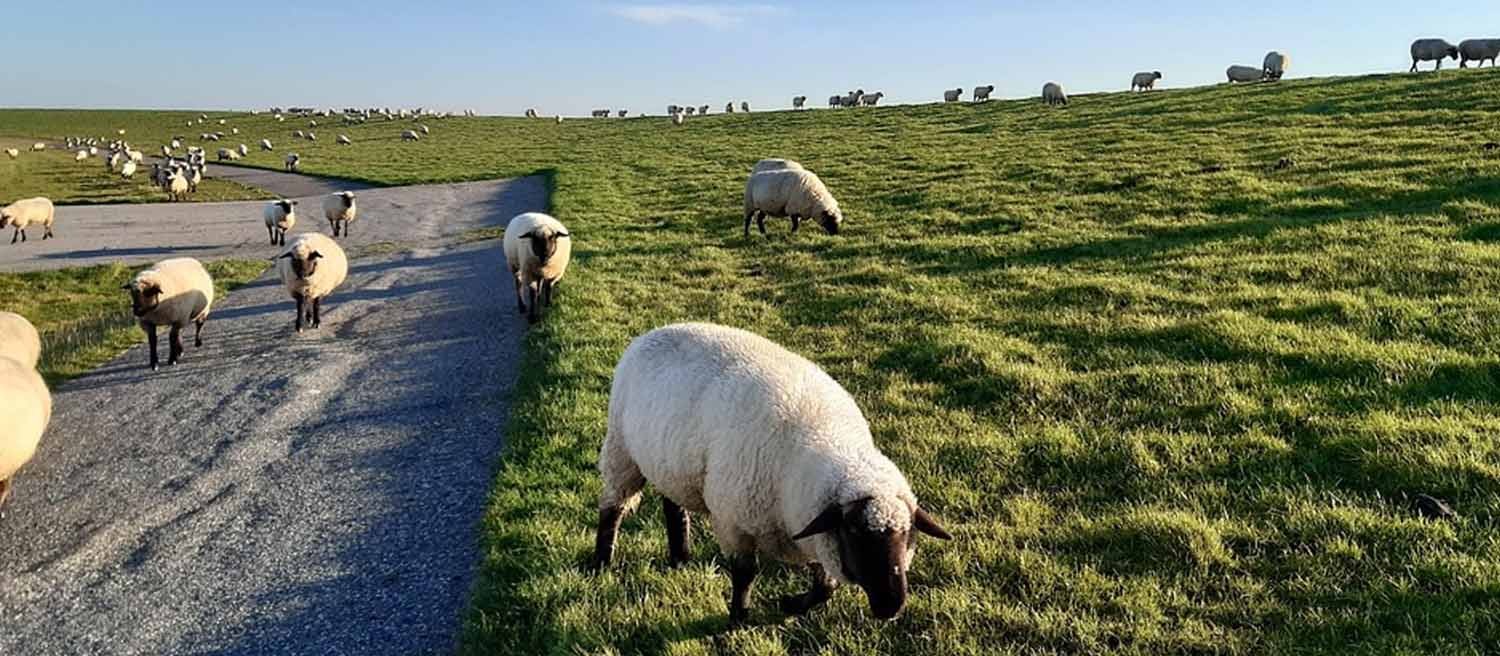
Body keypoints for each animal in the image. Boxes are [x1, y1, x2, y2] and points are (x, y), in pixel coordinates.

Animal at [591, 322, 952, 622]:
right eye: (855, 532)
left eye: (907, 534)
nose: (892, 605)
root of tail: (652, 332)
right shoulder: (735, 523)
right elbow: (745, 574)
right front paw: (739, 617)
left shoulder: (812, 530)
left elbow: (825, 588)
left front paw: (790, 604)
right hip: (622, 451)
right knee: (612, 509)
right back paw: (602, 563)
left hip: (671, 462)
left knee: (672, 505)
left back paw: (681, 556)